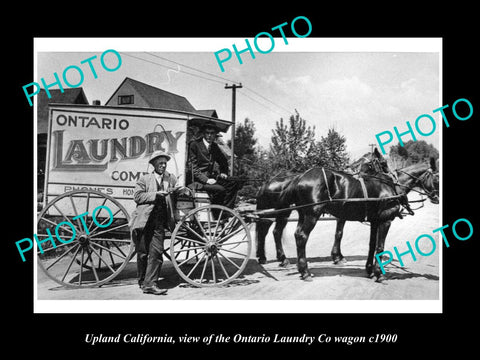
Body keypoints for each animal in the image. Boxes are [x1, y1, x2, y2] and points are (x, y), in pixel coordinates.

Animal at [255, 149, 438, 282]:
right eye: (437, 179)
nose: (437, 198)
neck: (390, 187)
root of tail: (300, 177)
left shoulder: (374, 221)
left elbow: (371, 245)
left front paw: (369, 270)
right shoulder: (385, 221)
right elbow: (378, 246)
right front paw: (379, 274)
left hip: (300, 214)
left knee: (281, 233)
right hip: (308, 214)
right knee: (297, 235)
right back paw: (302, 270)